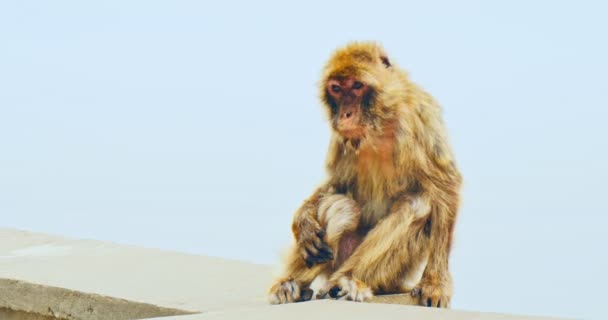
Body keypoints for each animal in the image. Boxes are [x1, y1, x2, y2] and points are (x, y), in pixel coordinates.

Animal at [268, 41, 460, 308]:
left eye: (357, 86)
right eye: (337, 89)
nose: (346, 114)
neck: (379, 123)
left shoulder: (419, 116)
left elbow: (444, 187)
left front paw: (435, 282)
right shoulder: (342, 137)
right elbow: (336, 184)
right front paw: (302, 222)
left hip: (388, 273)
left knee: (416, 204)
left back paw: (345, 281)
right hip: (337, 258)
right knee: (341, 206)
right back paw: (292, 285)